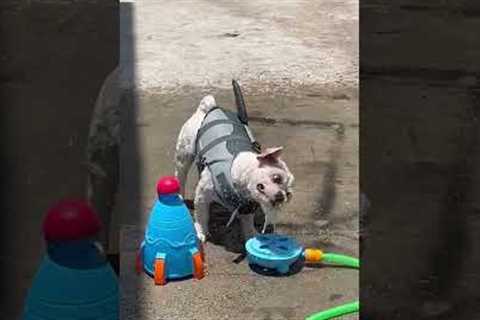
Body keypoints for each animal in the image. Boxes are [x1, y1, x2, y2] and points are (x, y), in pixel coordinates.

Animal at [174, 80, 294, 242]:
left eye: (288, 194)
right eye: (277, 178)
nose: (281, 196)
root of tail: (210, 107)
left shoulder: (246, 207)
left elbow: (247, 223)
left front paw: (250, 236)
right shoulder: (201, 197)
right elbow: (201, 216)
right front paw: (201, 232)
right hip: (184, 154)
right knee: (181, 174)